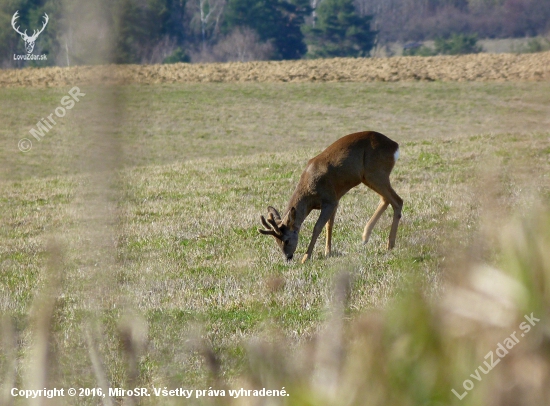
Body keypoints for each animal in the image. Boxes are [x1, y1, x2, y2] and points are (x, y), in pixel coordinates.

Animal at [258, 131, 406, 264]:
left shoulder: (329, 200)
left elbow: (318, 227)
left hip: (376, 173)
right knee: (386, 199)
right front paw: (327, 252)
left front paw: (306, 258)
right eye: (276, 240)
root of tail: (394, 145)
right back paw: (366, 237)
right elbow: (329, 225)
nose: (288, 257)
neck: (310, 192)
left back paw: (389, 245)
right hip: (368, 177)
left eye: (286, 240)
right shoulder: (335, 199)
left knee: (397, 201)